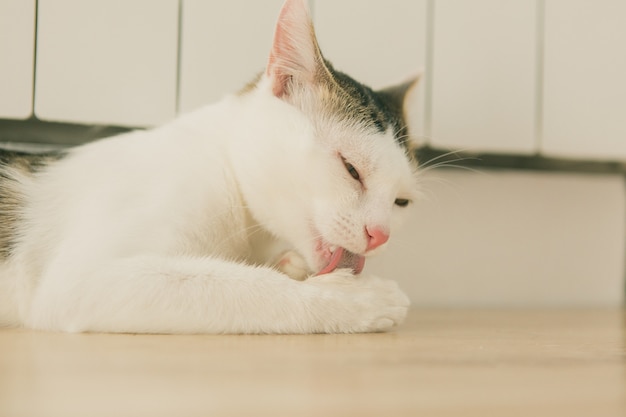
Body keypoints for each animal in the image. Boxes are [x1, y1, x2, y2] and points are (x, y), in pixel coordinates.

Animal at [1, 0, 420, 334]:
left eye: (402, 202)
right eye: (351, 169)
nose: (379, 235)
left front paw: (292, 264)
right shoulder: (81, 279)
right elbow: (246, 286)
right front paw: (358, 298)